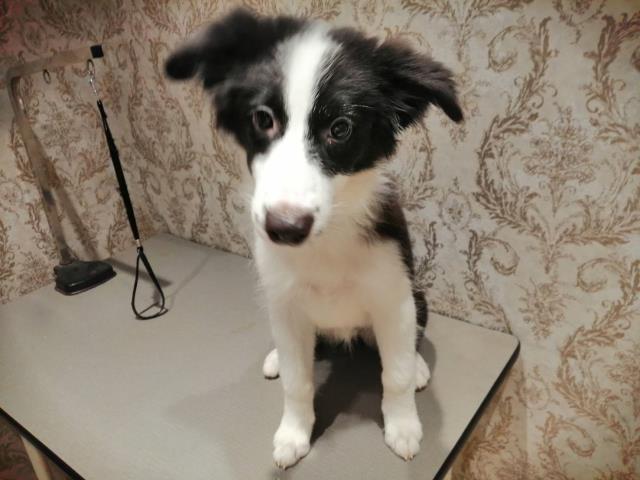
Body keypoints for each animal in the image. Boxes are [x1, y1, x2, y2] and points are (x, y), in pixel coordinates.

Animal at [166, 8, 462, 468]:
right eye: (262, 118)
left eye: (340, 128)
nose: (284, 228)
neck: (326, 240)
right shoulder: (286, 304)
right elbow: (297, 381)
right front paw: (293, 433)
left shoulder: (393, 297)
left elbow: (393, 374)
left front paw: (403, 427)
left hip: (417, 297)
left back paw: (418, 367)